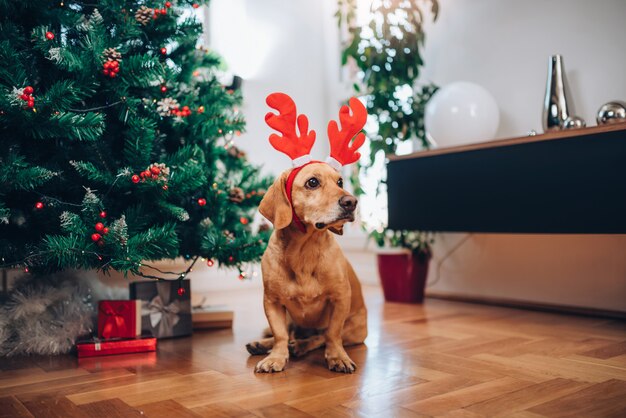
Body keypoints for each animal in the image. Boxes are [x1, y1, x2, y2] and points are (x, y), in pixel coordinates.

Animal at [246, 162, 368, 374]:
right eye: (312, 182)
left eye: (340, 182)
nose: (351, 202)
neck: (304, 251)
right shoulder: (272, 301)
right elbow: (280, 335)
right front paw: (276, 357)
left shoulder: (340, 299)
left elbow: (332, 334)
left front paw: (337, 356)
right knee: (289, 335)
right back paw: (263, 344)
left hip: (354, 329)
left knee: (320, 337)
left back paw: (301, 346)